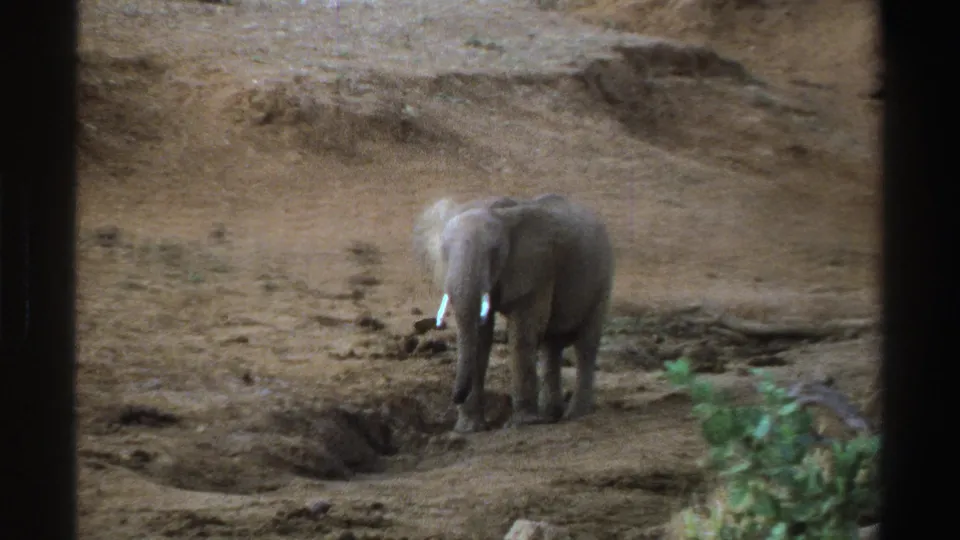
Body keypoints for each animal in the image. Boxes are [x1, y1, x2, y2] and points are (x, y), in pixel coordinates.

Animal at [412, 193, 615, 433]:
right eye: (443, 253)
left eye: (495, 253)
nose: (454, 397)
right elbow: (481, 338)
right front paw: (469, 429)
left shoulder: (536, 270)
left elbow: (522, 334)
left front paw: (524, 423)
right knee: (551, 346)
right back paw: (551, 414)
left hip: (603, 279)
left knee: (585, 344)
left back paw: (575, 414)